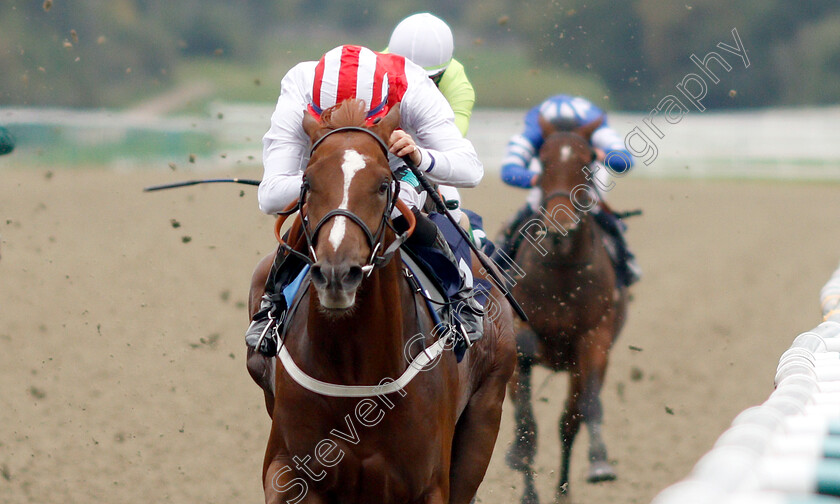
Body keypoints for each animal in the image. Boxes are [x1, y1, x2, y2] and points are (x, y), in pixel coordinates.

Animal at [246, 99, 516, 504]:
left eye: (383, 184)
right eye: (307, 182)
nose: (338, 273)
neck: (355, 369)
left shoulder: (428, 484)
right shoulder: (288, 469)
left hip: (484, 417)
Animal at [502, 117, 628, 500]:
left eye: (588, 162)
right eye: (542, 163)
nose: (560, 223)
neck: (559, 268)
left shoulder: (594, 339)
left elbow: (581, 412)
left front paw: (599, 462)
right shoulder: (520, 341)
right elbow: (526, 424)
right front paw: (524, 477)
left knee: (570, 419)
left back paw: (564, 488)